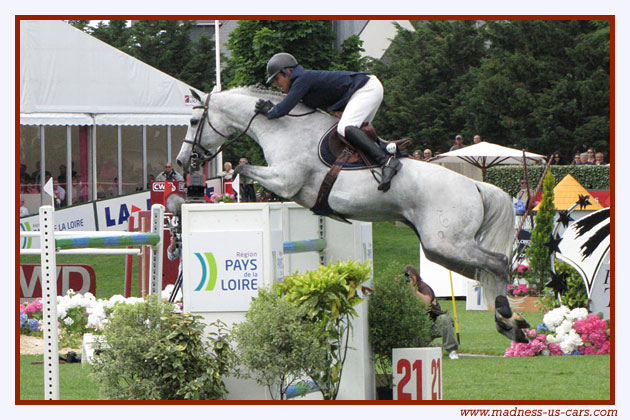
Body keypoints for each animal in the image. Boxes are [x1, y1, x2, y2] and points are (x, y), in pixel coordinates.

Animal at [179, 87, 532, 342]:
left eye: (194, 123)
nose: (183, 162)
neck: (284, 129)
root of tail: (476, 186)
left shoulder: (284, 180)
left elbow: (240, 169)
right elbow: (241, 172)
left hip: (446, 242)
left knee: (497, 263)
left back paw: (506, 318)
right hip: (441, 247)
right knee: (484, 270)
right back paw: (511, 322)